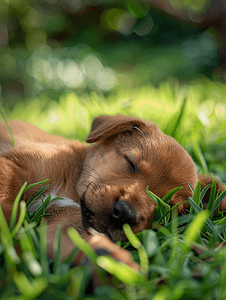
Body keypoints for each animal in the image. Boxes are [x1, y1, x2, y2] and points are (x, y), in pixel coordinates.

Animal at [0, 115, 225, 270]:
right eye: (131, 163)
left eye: (168, 208)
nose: (124, 213)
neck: (72, 186)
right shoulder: (13, 165)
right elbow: (7, 199)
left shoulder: (65, 222)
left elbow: (85, 244)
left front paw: (115, 266)